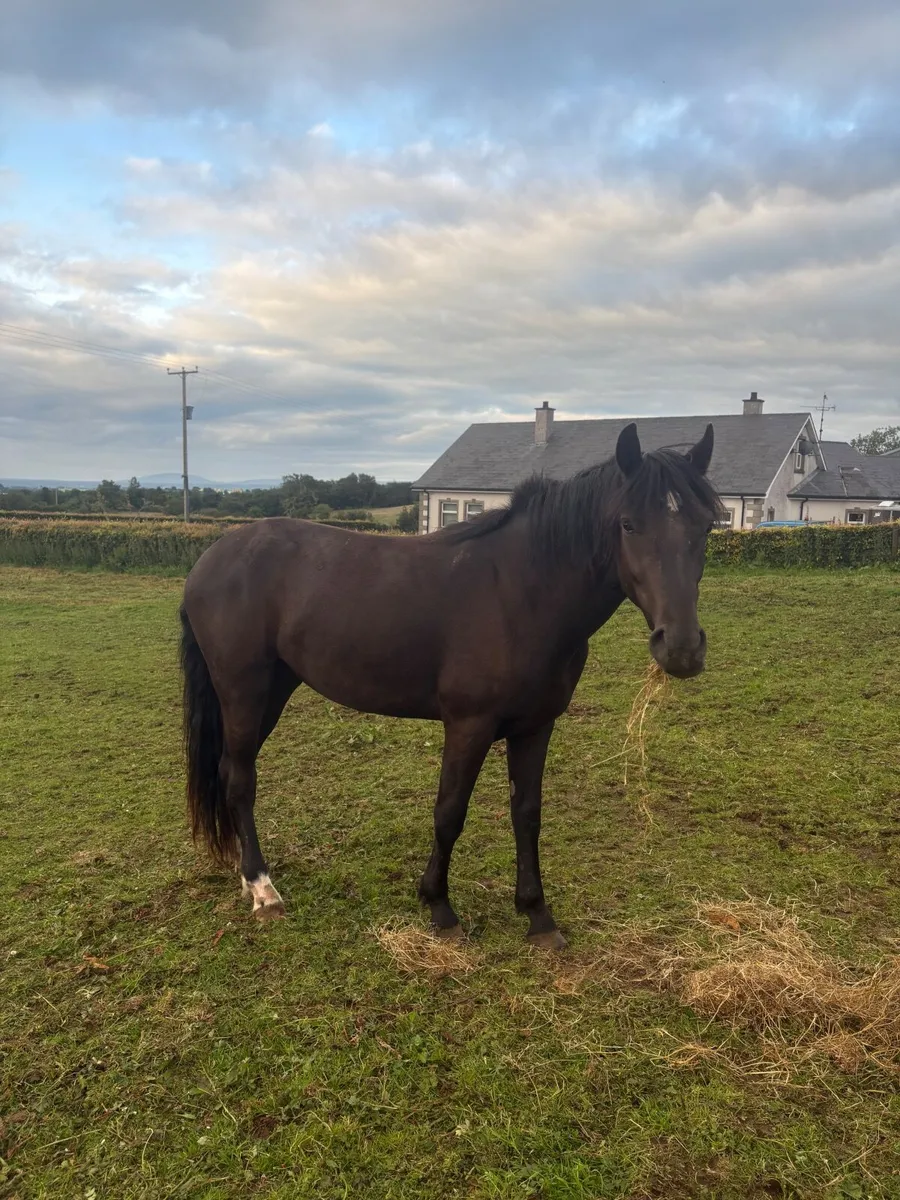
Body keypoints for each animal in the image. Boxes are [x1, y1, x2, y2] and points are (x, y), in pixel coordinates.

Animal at [179, 421, 720, 949]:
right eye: (628, 524)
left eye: (707, 526)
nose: (682, 647)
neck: (521, 591)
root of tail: (212, 558)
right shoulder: (468, 725)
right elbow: (450, 811)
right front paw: (439, 906)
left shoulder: (536, 725)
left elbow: (527, 813)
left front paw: (537, 915)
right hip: (243, 691)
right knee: (239, 778)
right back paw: (262, 889)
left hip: (273, 690)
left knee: (230, 772)